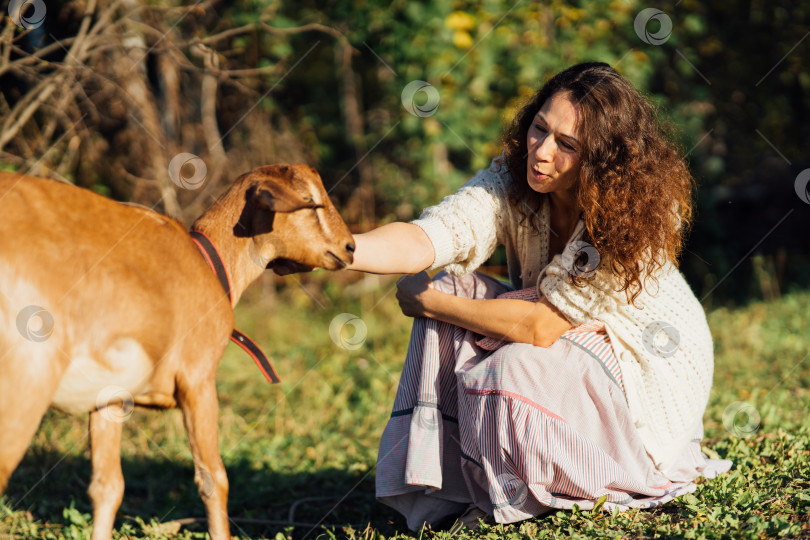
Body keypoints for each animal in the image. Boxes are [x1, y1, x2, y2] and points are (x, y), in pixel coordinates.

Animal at [0, 165, 354, 540]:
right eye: (311, 200)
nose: (350, 247)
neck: (209, 264)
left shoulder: (109, 396)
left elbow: (107, 486)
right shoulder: (198, 380)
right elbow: (214, 478)